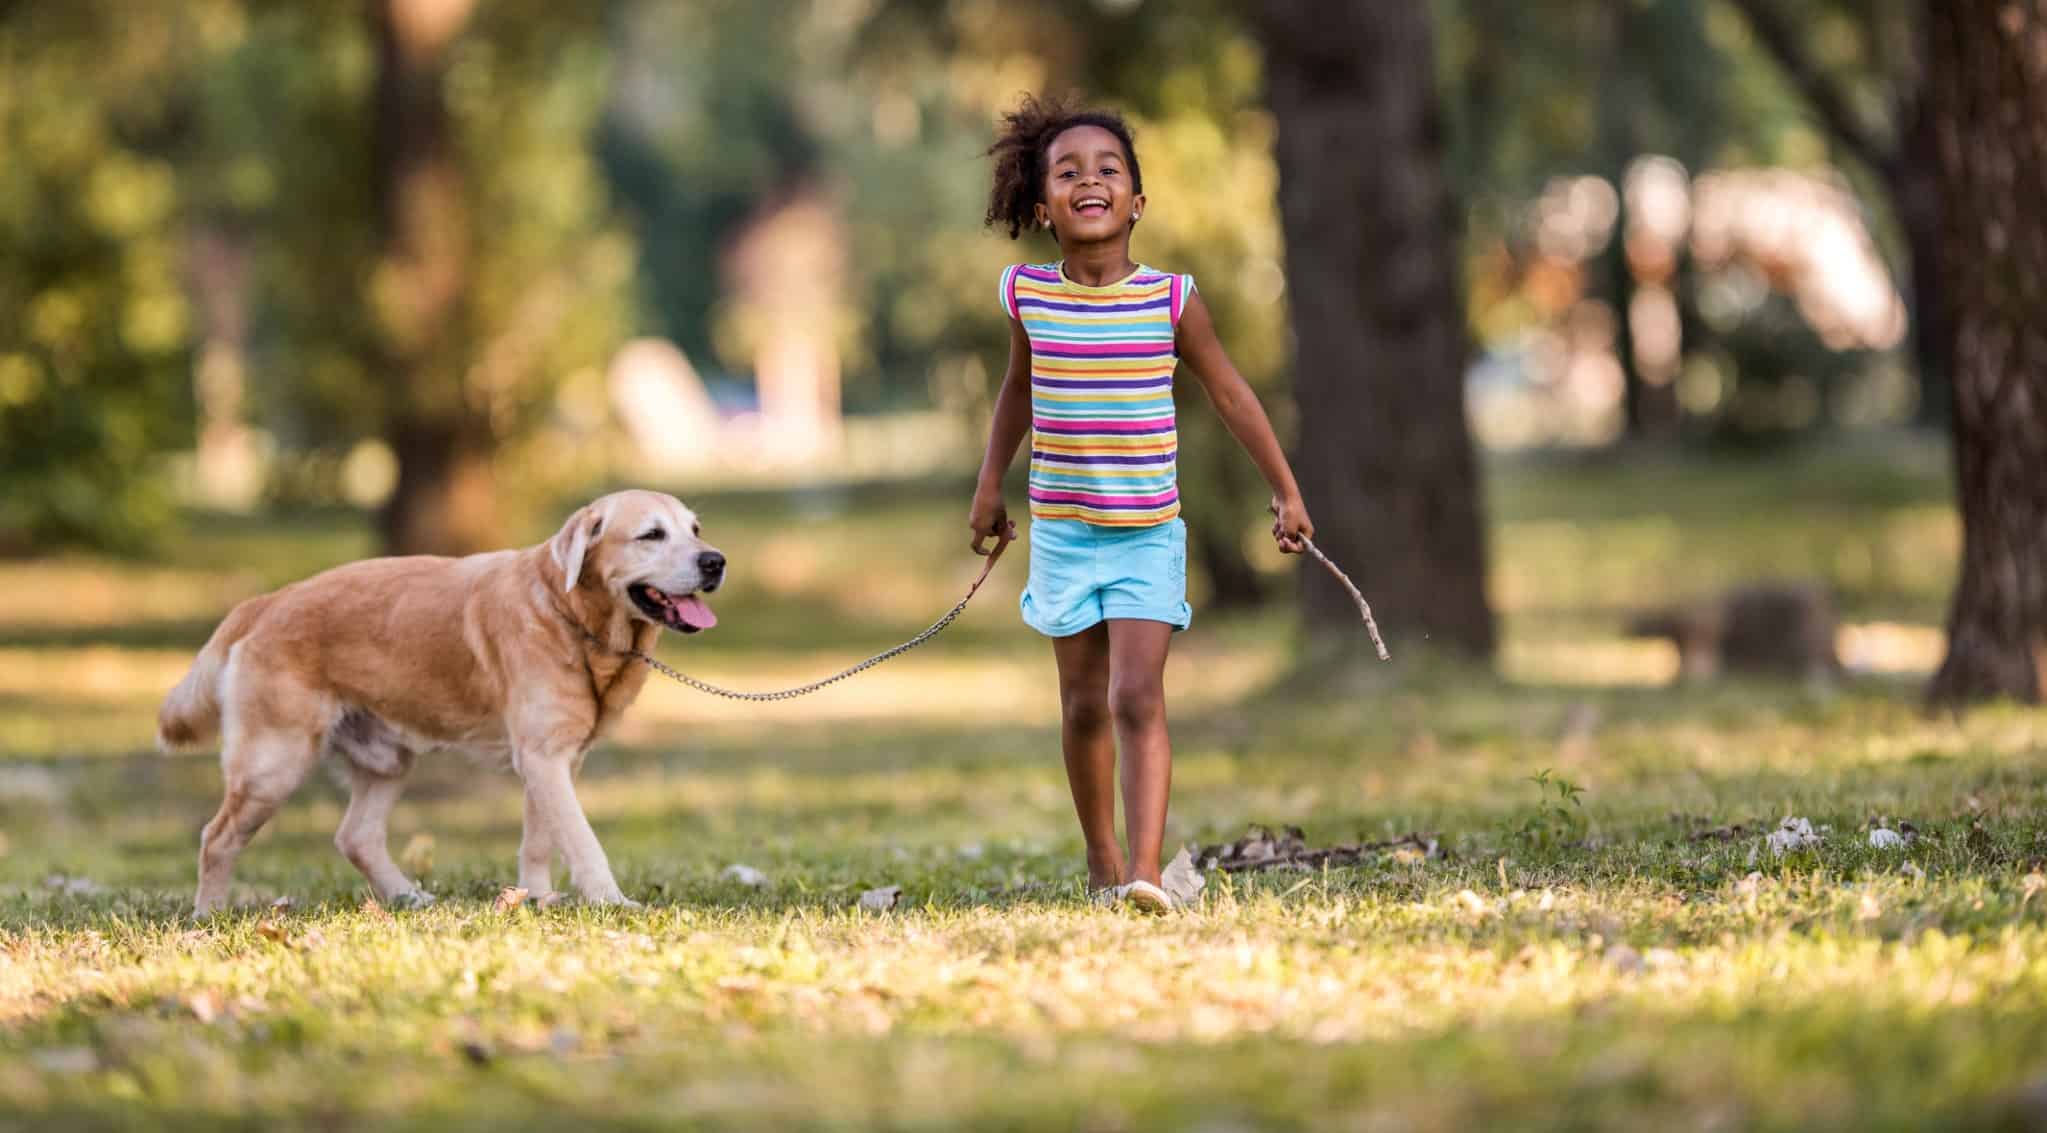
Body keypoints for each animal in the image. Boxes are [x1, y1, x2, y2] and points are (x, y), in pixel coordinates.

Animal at [155, 489, 724, 913]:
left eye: (695, 530)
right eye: (652, 534)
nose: (715, 561)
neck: (568, 614)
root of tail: (266, 600)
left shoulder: (555, 760)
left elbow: (540, 839)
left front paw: (536, 899)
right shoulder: (543, 758)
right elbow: (582, 840)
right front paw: (610, 901)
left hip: (386, 760)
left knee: (356, 837)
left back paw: (409, 897)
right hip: (273, 765)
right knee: (217, 837)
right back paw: (209, 915)